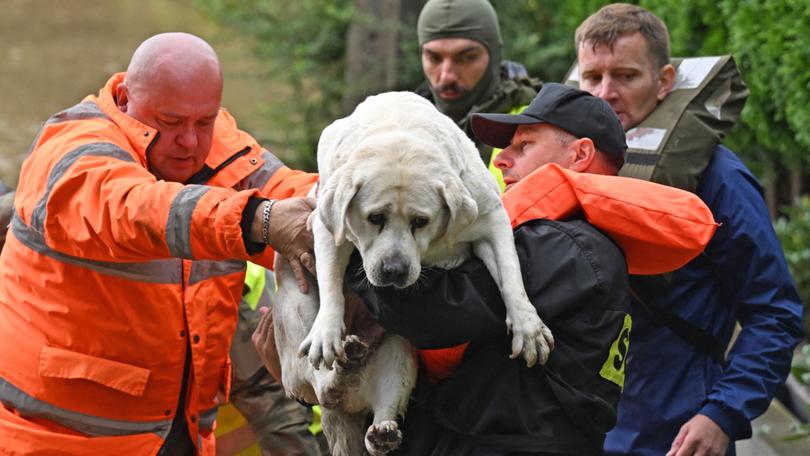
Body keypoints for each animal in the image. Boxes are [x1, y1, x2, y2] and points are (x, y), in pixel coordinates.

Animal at [274, 91, 552, 454]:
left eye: (421, 221)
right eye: (375, 217)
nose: (393, 270)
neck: (399, 134)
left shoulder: (491, 218)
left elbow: (511, 275)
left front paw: (528, 327)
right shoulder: (324, 224)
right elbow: (331, 281)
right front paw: (327, 332)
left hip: (400, 353)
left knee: (378, 404)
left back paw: (380, 428)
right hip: (293, 310)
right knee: (320, 383)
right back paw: (340, 361)